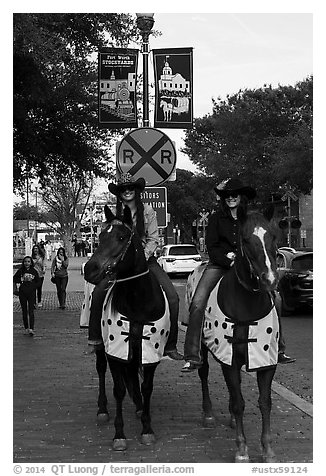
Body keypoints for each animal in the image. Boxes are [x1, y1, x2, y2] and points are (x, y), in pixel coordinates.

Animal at [84, 205, 169, 450]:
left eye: (121, 237)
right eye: (100, 236)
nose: (89, 269)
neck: (138, 300)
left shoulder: (150, 351)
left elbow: (147, 387)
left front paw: (147, 428)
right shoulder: (115, 350)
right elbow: (118, 389)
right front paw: (119, 434)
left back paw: (139, 406)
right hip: (101, 344)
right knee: (101, 369)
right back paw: (103, 409)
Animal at [186, 209, 280, 462]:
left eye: (274, 236)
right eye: (245, 240)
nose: (270, 279)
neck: (247, 305)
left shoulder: (266, 361)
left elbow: (265, 402)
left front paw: (268, 449)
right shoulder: (230, 360)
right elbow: (239, 403)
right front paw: (242, 449)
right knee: (204, 373)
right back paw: (208, 414)